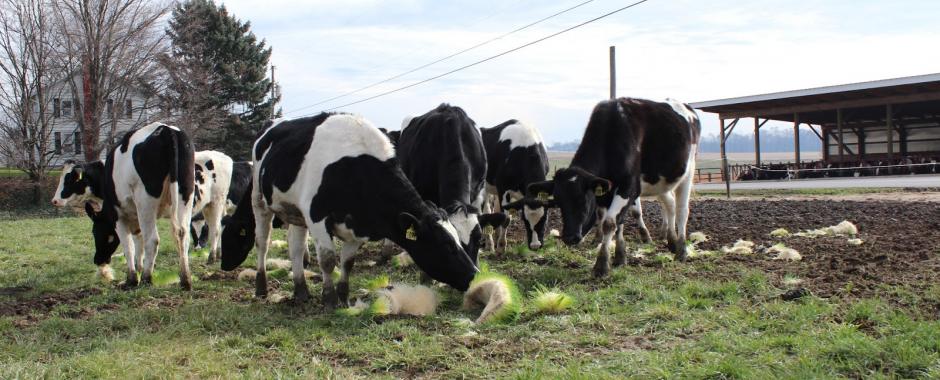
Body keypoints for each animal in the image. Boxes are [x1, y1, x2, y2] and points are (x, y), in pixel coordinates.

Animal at [77, 123, 196, 290]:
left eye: (95, 232)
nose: (98, 259)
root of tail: (165, 130)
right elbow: (138, 242)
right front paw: (138, 270)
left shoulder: (118, 215)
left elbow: (129, 246)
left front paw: (132, 279)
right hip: (186, 194)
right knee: (183, 234)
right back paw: (185, 279)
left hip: (145, 202)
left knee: (152, 239)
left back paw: (147, 278)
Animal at [220, 113, 478, 308]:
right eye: (446, 244)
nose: (474, 274)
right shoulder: (316, 216)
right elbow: (327, 259)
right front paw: (329, 299)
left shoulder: (359, 226)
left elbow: (347, 262)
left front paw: (343, 297)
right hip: (259, 199)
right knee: (262, 242)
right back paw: (261, 286)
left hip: (295, 212)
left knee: (296, 248)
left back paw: (301, 290)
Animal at [484, 120, 552, 254]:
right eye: (525, 220)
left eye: (545, 219)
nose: (535, 246)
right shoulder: (503, 188)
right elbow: (506, 219)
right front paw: (501, 247)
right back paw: (490, 245)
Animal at [528, 98, 696, 276]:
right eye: (558, 202)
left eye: (583, 200)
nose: (569, 238)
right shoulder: (611, 191)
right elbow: (619, 223)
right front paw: (620, 258)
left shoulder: (629, 187)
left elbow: (609, 223)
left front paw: (601, 266)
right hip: (660, 181)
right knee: (670, 204)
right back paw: (671, 241)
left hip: (688, 171)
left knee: (682, 211)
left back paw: (681, 251)